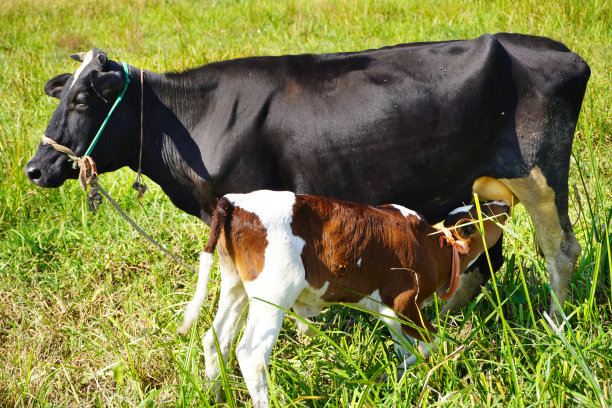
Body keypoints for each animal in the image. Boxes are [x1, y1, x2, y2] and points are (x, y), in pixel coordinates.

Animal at [26, 33, 592, 318]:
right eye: (61, 95)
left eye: (82, 99)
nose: (34, 168)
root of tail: (560, 50)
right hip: (480, 189)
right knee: (481, 258)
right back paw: (450, 322)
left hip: (540, 173)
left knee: (560, 250)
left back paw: (556, 326)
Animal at [176, 190, 506, 404]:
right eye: (484, 213)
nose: (505, 202)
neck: (433, 248)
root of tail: (235, 201)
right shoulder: (403, 304)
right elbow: (432, 345)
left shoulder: (389, 311)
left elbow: (406, 349)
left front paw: (399, 378)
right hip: (274, 293)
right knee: (251, 354)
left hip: (237, 285)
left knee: (216, 338)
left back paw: (217, 396)